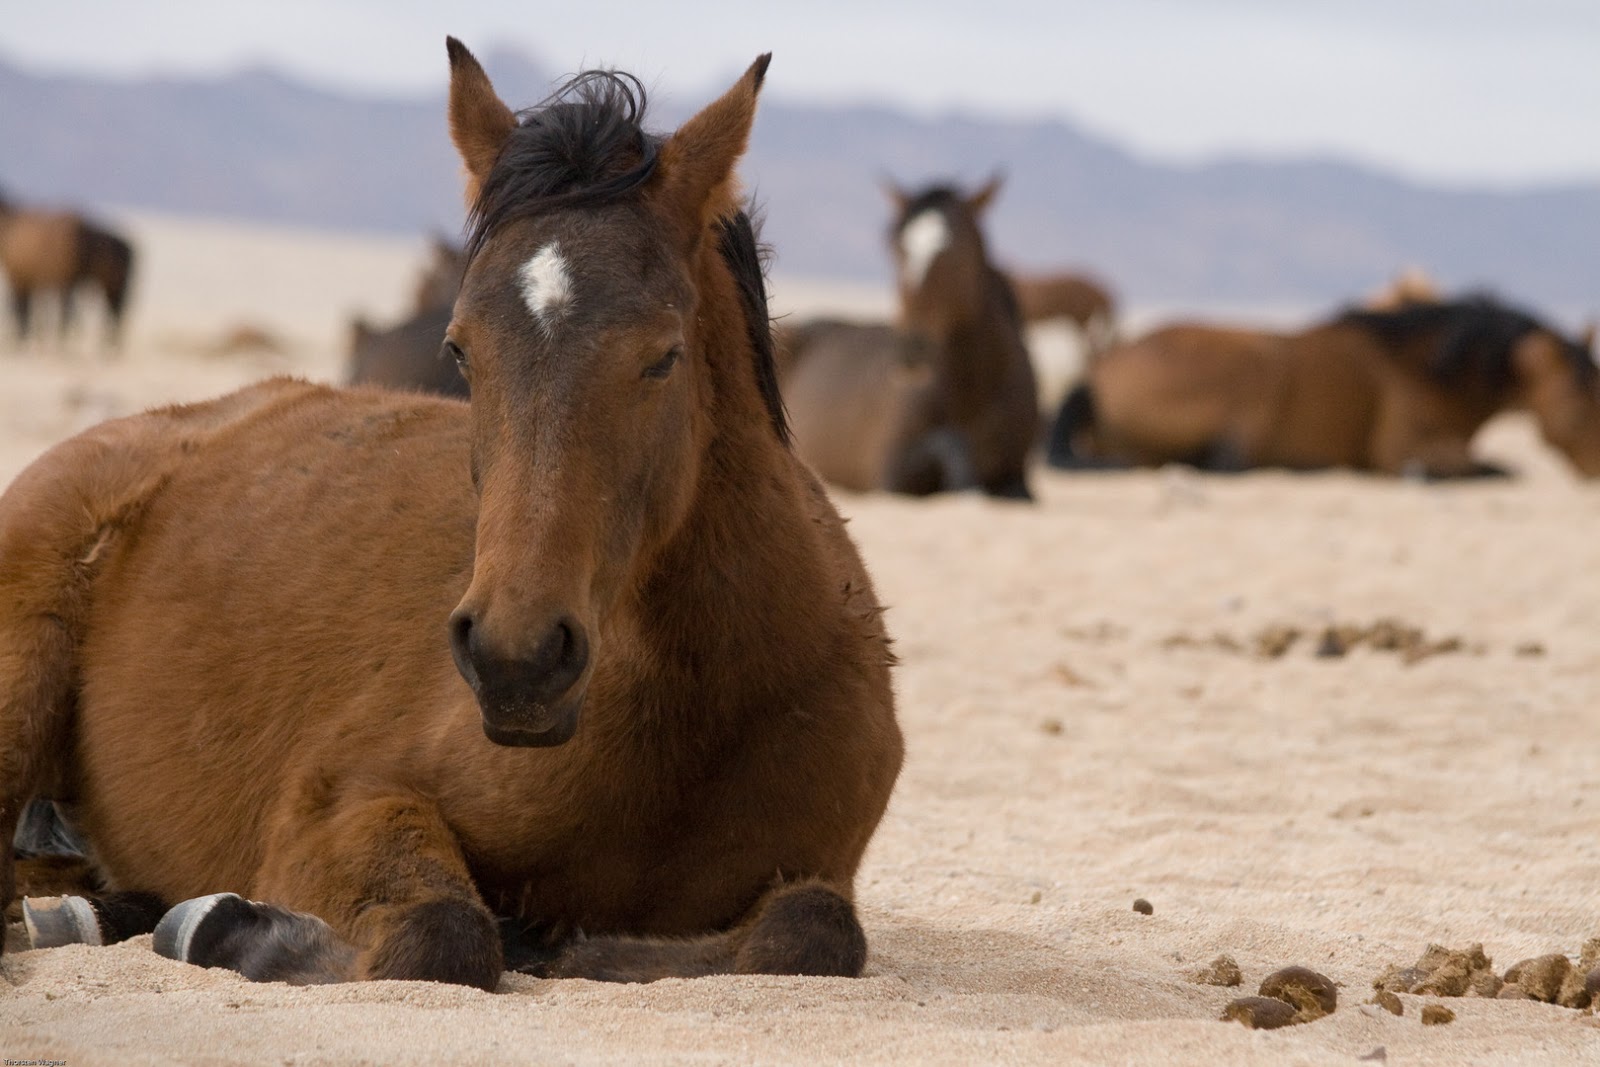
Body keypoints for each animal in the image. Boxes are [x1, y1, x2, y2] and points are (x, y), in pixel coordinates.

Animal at [0, 196, 134, 350]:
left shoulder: (21, 281)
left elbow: (23, 313)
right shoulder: (30, 283)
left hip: (105, 286)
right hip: (109, 287)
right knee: (112, 312)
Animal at [780, 178, 1038, 498]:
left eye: (956, 253)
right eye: (896, 249)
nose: (912, 349)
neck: (971, 397)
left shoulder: (1016, 478)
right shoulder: (892, 474)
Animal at [1045, 296, 1600, 479]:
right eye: (1578, 407)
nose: (1595, 474)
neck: (1425, 367)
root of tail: (1100, 372)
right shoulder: (1399, 449)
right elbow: (1493, 468)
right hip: (1254, 370)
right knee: (1227, 463)